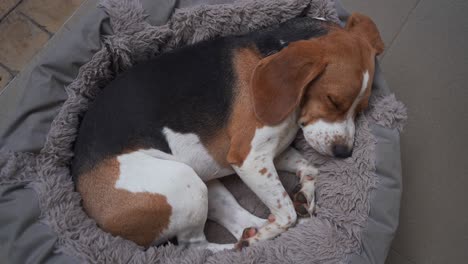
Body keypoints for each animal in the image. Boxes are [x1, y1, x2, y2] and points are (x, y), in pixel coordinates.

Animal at [70, 12, 384, 252]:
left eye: (360, 109)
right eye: (334, 100)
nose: (344, 153)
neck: (270, 51)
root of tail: (85, 200)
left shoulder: (268, 153)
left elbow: (310, 169)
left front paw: (305, 193)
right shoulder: (249, 158)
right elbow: (286, 214)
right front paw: (276, 226)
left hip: (205, 185)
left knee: (238, 222)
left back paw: (256, 231)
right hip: (183, 183)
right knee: (195, 248)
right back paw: (244, 245)